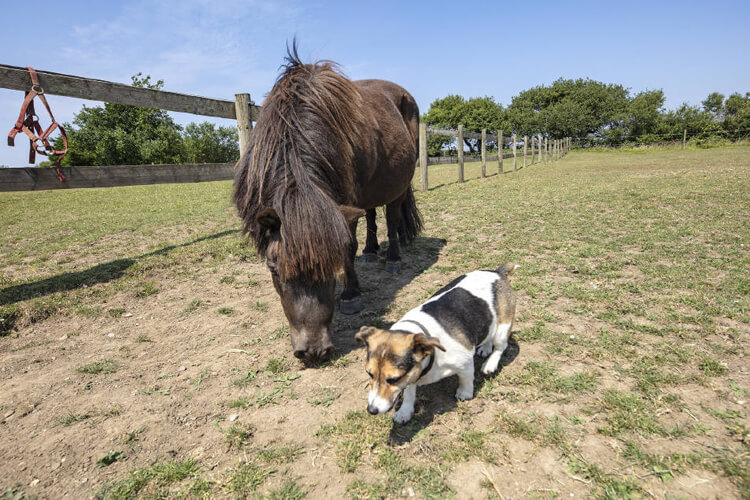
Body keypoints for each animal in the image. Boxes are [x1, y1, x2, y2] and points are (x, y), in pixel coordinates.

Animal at [235, 47, 424, 360]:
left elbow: (348, 245)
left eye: (330, 266)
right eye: (273, 268)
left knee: (392, 218)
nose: (312, 350)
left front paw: (350, 295)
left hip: (397, 186)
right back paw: (371, 252)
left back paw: (392, 259)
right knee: (371, 216)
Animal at [356, 264, 520, 424]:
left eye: (394, 379)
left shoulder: (465, 363)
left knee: (500, 347)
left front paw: (465, 393)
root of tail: (498, 272)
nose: (372, 410)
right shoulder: (412, 374)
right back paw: (485, 348)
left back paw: (490, 363)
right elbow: (409, 394)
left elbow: (466, 379)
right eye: (369, 374)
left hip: (503, 327)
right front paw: (404, 411)